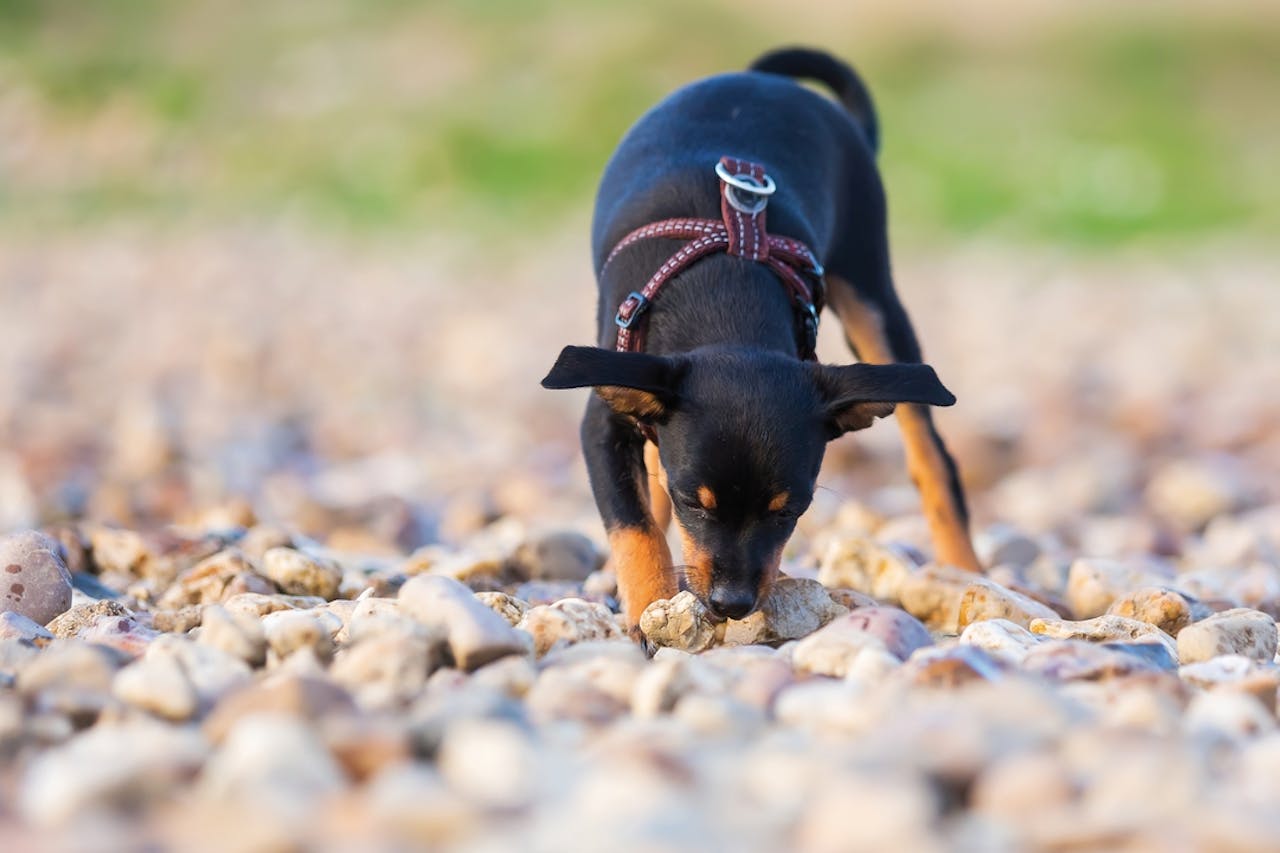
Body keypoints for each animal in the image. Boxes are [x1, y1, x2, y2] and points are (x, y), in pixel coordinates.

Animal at [540, 43, 977, 635]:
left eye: (789, 512)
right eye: (694, 503)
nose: (731, 604)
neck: (724, 295)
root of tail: (766, 81)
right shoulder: (605, 420)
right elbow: (635, 528)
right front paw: (651, 608)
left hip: (874, 300)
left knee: (932, 457)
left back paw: (967, 575)